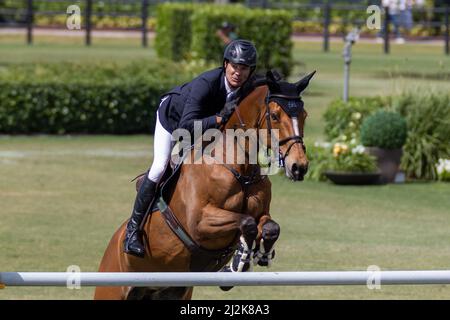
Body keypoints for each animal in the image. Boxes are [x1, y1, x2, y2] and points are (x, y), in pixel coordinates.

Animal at [93, 70, 314, 300]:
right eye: (275, 116)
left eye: (305, 115)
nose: (299, 167)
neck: (239, 169)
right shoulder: (200, 223)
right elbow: (247, 223)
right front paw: (239, 261)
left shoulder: (262, 213)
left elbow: (270, 227)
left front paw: (261, 255)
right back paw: (133, 240)